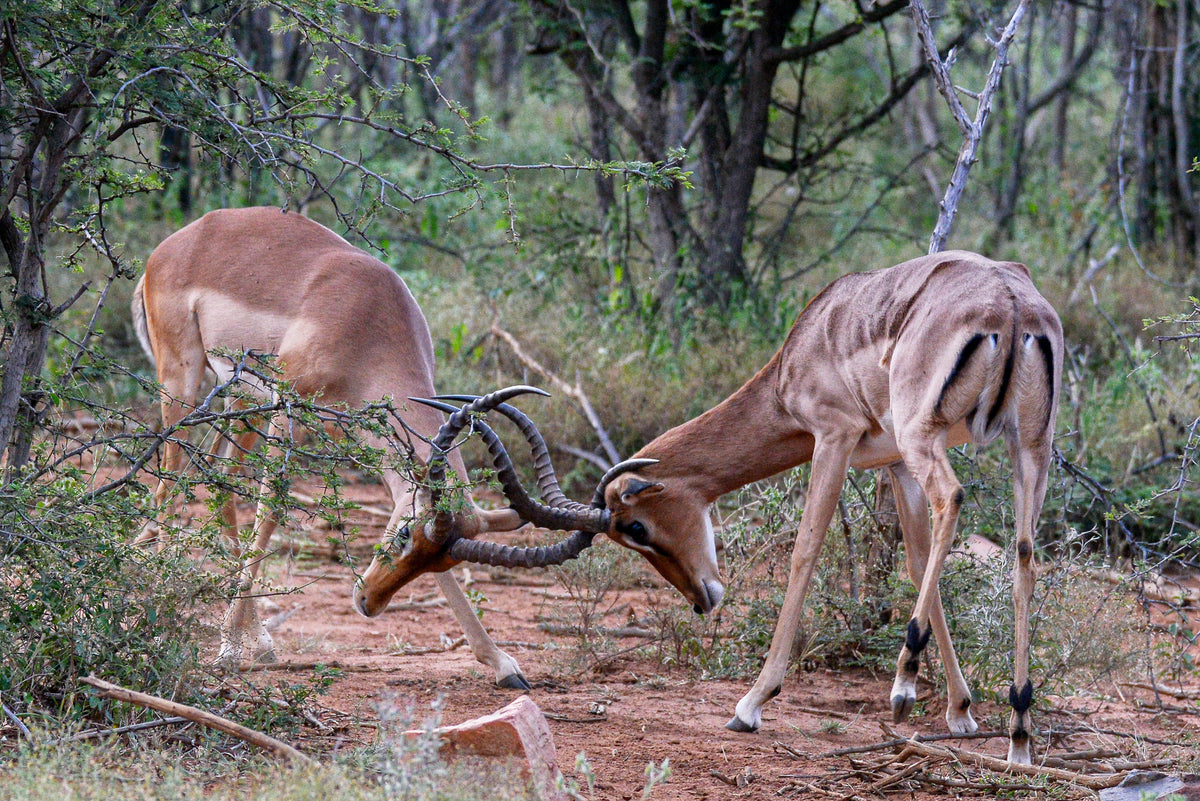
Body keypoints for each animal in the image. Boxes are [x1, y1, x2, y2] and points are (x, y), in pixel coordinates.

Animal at [131, 206, 637, 686]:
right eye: (402, 535)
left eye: (440, 561)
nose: (367, 601)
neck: (364, 319)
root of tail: (173, 245)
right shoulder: (289, 406)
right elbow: (271, 508)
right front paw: (226, 656)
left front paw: (502, 664)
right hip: (184, 385)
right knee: (168, 486)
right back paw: (158, 617)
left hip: (241, 402)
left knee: (219, 487)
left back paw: (259, 642)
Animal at [401, 250, 1062, 765]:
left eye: (635, 525)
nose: (702, 599)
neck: (809, 345)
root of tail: (1010, 305)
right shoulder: (894, 462)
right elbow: (922, 562)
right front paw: (961, 712)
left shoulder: (834, 437)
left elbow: (804, 553)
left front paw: (751, 704)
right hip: (1029, 446)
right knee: (1026, 552)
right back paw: (1019, 733)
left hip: (936, 440)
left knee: (956, 497)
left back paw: (901, 690)